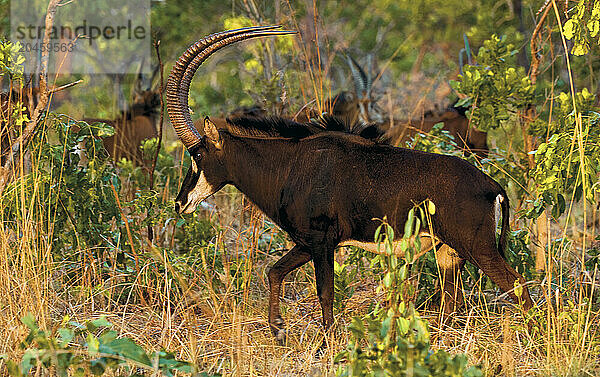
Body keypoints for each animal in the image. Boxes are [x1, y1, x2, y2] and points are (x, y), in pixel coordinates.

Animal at [165, 25, 536, 340]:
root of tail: (492, 186)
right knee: (452, 302)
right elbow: (274, 272)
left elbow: (324, 292)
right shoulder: (308, 242)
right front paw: (278, 330)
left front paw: (328, 341)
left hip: (477, 248)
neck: (289, 164)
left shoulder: (321, 240)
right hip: (448, 254)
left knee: (517, 286)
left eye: (197, 156)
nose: (181, 202)